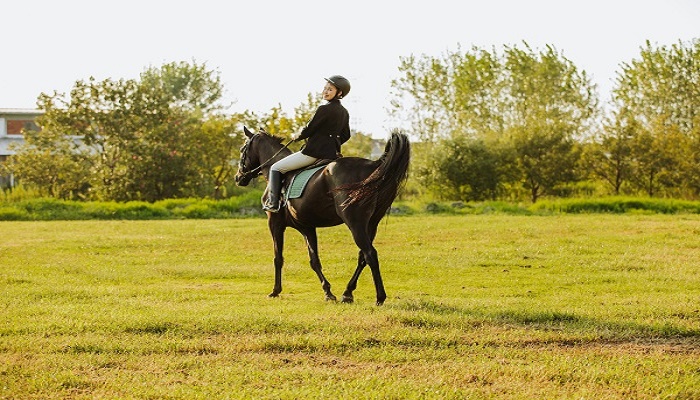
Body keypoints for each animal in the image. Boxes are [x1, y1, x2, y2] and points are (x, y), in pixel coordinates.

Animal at [235, 126, 410, 304]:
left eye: (242, 149)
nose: (238, 177)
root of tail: (374, 165)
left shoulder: (275, 223)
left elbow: (278, 258)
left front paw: (275, 291)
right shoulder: (307, 227)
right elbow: (314, 260)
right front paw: (328, 292)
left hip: (355, 222)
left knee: (370, 254)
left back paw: (379, 297)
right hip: (371, 224)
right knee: (362, 257)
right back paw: (347, 293)